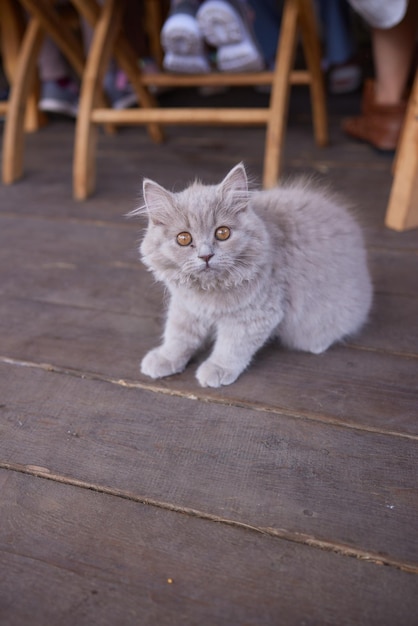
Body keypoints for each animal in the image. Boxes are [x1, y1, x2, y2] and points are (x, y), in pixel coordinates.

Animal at [135, 161, 372, 386]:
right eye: (183, 239)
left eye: (222, 233)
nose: (206, 256)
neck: (208, 291)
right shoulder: (185, 306)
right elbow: (178, 335)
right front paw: (165, 358)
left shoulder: (255, 315)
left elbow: (231, 347)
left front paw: (217, 369)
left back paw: (317, 344)